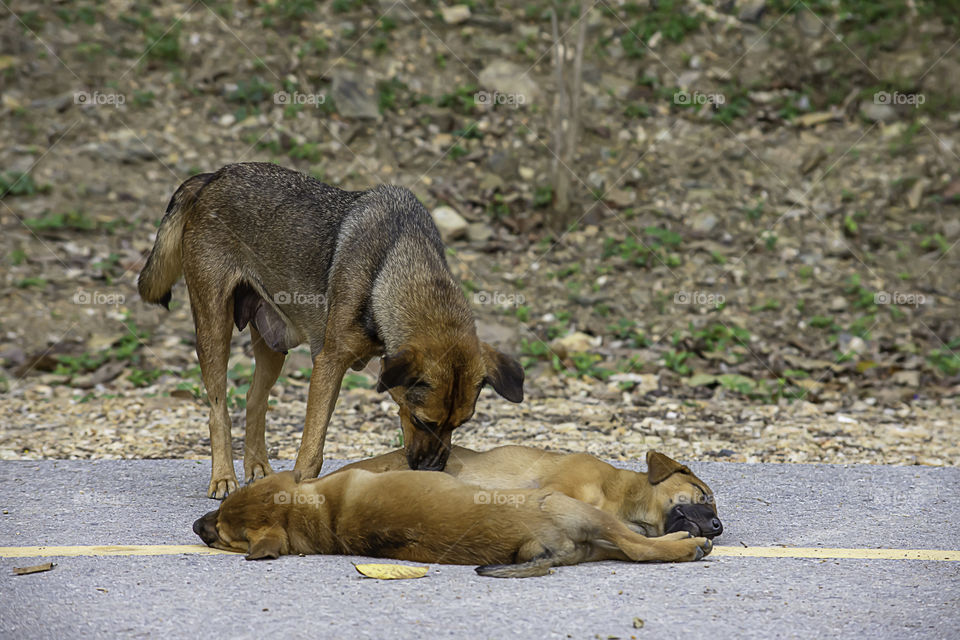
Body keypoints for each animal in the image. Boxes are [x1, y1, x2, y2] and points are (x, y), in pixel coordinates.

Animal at [139, 161, 520, 500]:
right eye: (422, 420)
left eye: (460, 425)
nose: (433, 471)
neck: (393, 263)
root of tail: (213, 176)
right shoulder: (329, 363)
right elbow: (312, 448)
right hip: (213, 329)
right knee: (218, 409)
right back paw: (223, 478)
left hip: (273, 344)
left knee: (254, 401)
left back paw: (258, 468)